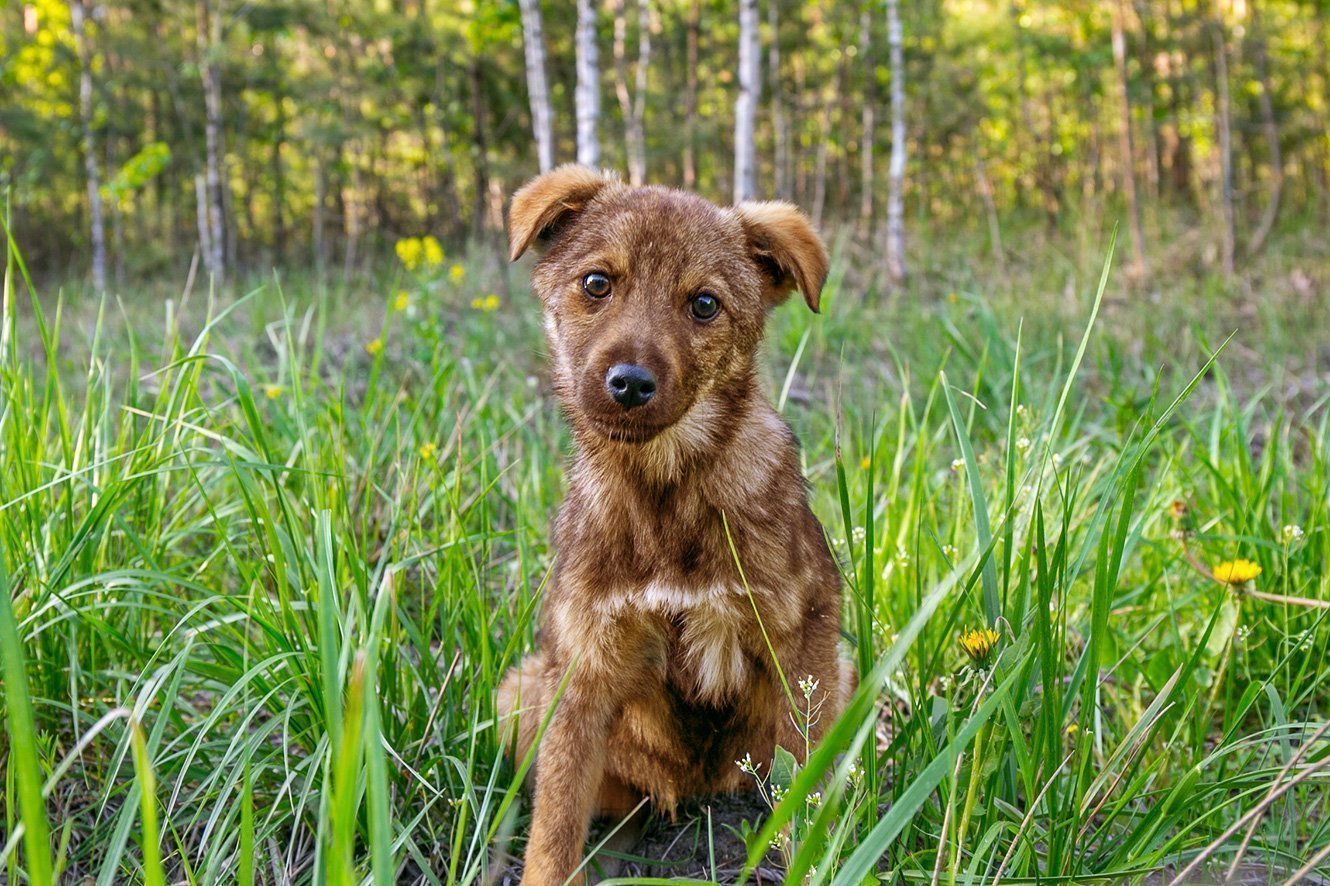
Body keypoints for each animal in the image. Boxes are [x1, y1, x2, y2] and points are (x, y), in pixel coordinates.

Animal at [500, 167, 851, 883]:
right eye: (596, 283)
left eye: (705, 304)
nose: (630, 384)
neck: (664, 490)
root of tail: (694, 788)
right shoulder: (583, 667)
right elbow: (554, 825)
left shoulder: (804, 636)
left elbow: (809, 787)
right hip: (521, 695)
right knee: (620, 799)